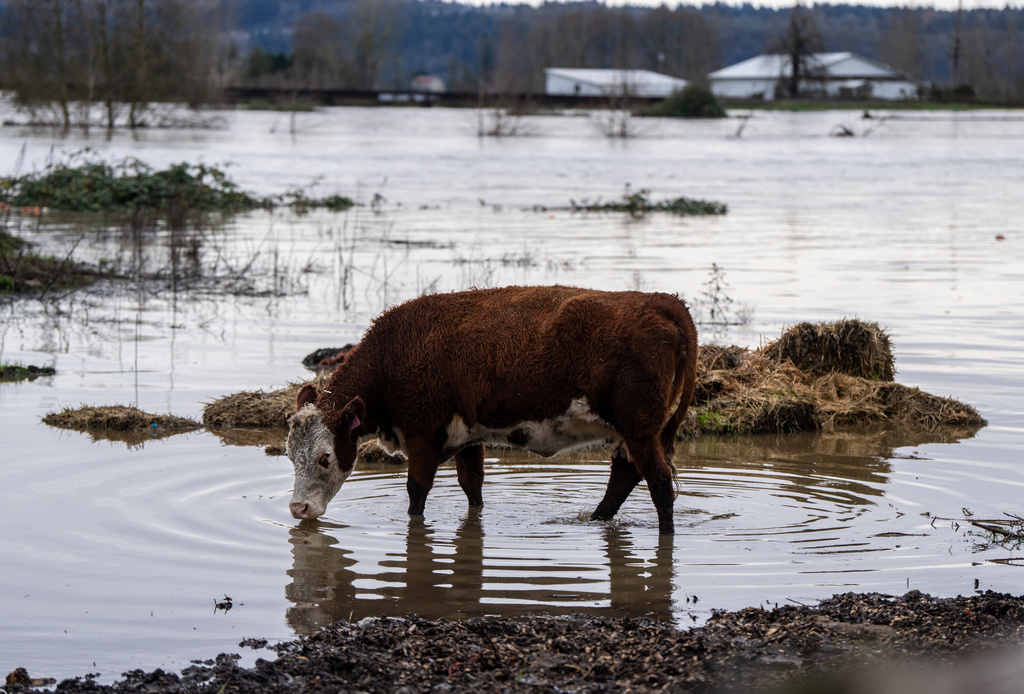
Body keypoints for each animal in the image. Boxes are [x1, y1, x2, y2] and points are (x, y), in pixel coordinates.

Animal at [286, 285, 698, 534]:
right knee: (625, 476)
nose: (298, 509)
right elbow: (473, 489)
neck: (393, 355)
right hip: (633, 431)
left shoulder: (422, 433)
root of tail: (661, 301)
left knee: (659, 483)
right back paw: (594, 520)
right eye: (290, 455)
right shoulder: (468, 438)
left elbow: (417, 490)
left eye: (325, 456)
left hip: (639, 427)